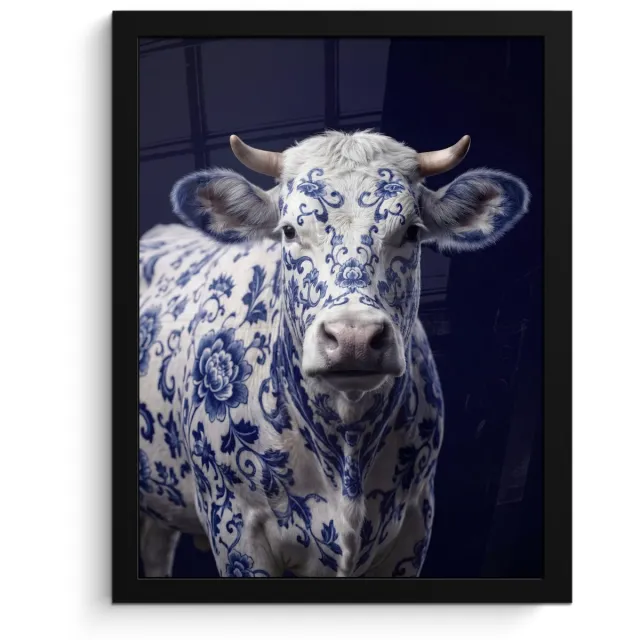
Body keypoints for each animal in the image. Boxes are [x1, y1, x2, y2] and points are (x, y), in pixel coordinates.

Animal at [139, 130, 529, 578]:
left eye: (412, 231)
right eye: (289, 231)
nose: (353, 337)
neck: (347, 446)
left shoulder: (415, 523)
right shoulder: (234, 526)